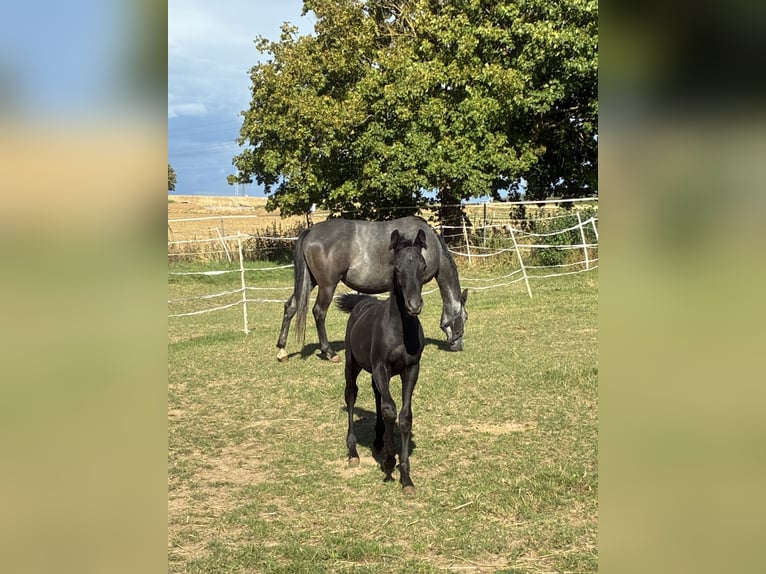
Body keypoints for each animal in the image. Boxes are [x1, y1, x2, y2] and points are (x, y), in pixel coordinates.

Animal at [276, 216, 468, 362]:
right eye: (465, 318)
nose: (458, 346)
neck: (432, 247)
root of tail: (309, 232)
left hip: (310, 282)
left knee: (291, 306)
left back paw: (282, 349)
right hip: (327, 285)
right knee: (319, 312)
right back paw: (329, 352)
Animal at [336, 228, 428, 495]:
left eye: (423, 266)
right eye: (396, 268)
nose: (414, 305)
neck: (400, 330)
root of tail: (362, 302)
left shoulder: (411, 369)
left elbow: (404, 416)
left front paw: (406, 478)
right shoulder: (380, 367)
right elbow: (390, 410)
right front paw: (389, 460)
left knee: (377, 395)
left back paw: (377, 440)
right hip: (352, 365)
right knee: (352, 395)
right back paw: (353, 452)